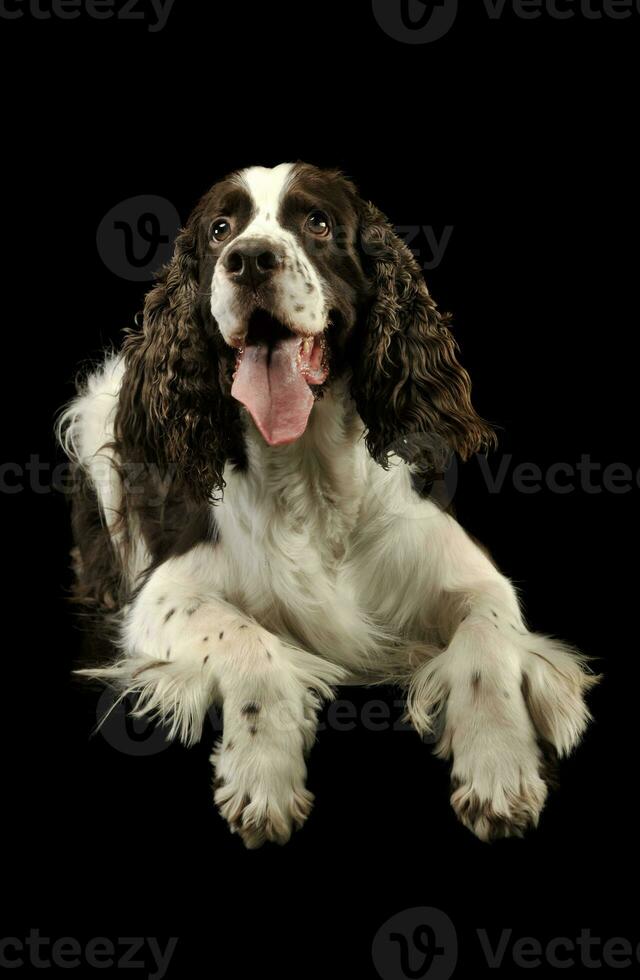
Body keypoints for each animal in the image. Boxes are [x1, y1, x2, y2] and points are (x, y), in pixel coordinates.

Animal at [58, 161, 596, 844]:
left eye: (316, 222)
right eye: (220, 229)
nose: (250, 260)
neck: (311, 474)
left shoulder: (472, 576)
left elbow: (486, 647)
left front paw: (499, 766)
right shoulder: (162, 595)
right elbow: (247, 640)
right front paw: (262, 774)